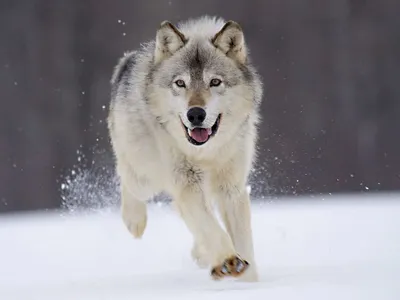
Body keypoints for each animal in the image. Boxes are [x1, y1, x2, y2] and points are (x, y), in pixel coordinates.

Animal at [107, 15, 262, 282]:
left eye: (215, 82)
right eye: (180, 83)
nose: (195, 114)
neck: (206, 153)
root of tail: (127, 61)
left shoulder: (231, 188)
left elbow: (242, 240)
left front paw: (249, 279)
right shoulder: (186, 183)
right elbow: (211, 228)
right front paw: (228, 260)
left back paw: (202, 255)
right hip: (145, 176)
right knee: (127, 179)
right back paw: (134, 221)